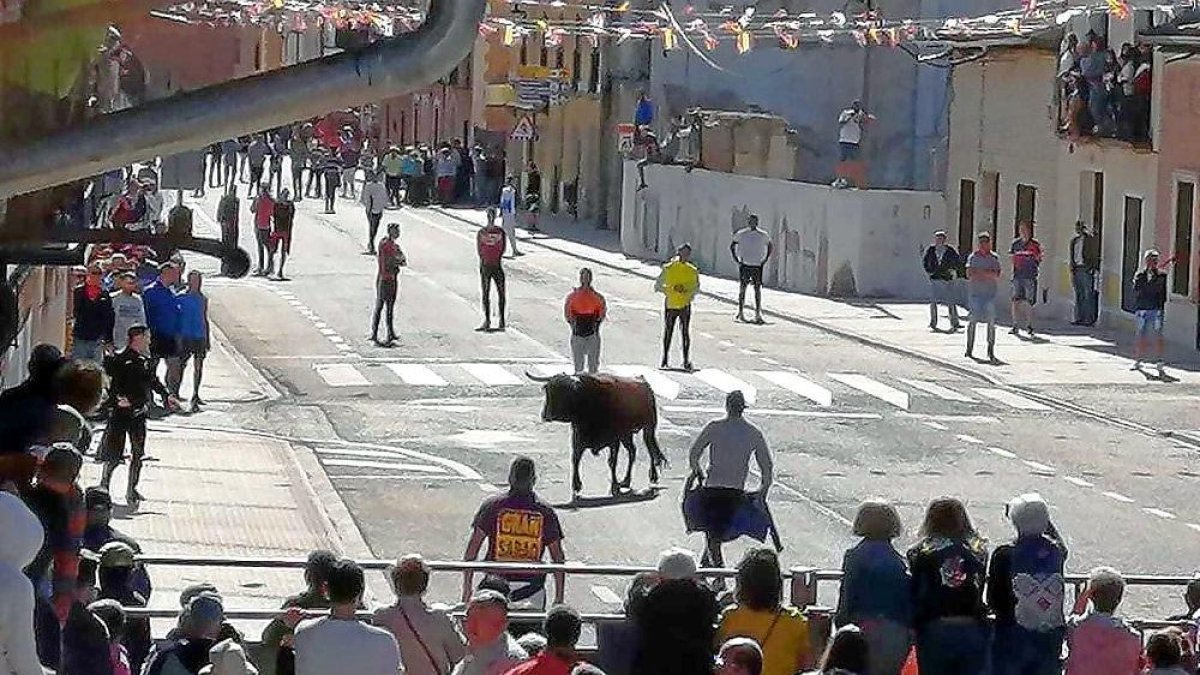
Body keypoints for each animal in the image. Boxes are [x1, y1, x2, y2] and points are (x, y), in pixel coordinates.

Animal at [528, 369, 672, 497]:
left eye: (563, 392)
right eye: (548, 390)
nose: (545, 415)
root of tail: (644, 382)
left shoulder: (614, 440)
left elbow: (612, 462)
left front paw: (614, 485)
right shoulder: (578, 438)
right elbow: (575, 459)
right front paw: (576, 485)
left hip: (648, 428)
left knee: (650, 449)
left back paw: (650, 476)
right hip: (627, 435)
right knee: (634, 451)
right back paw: (627, 481)